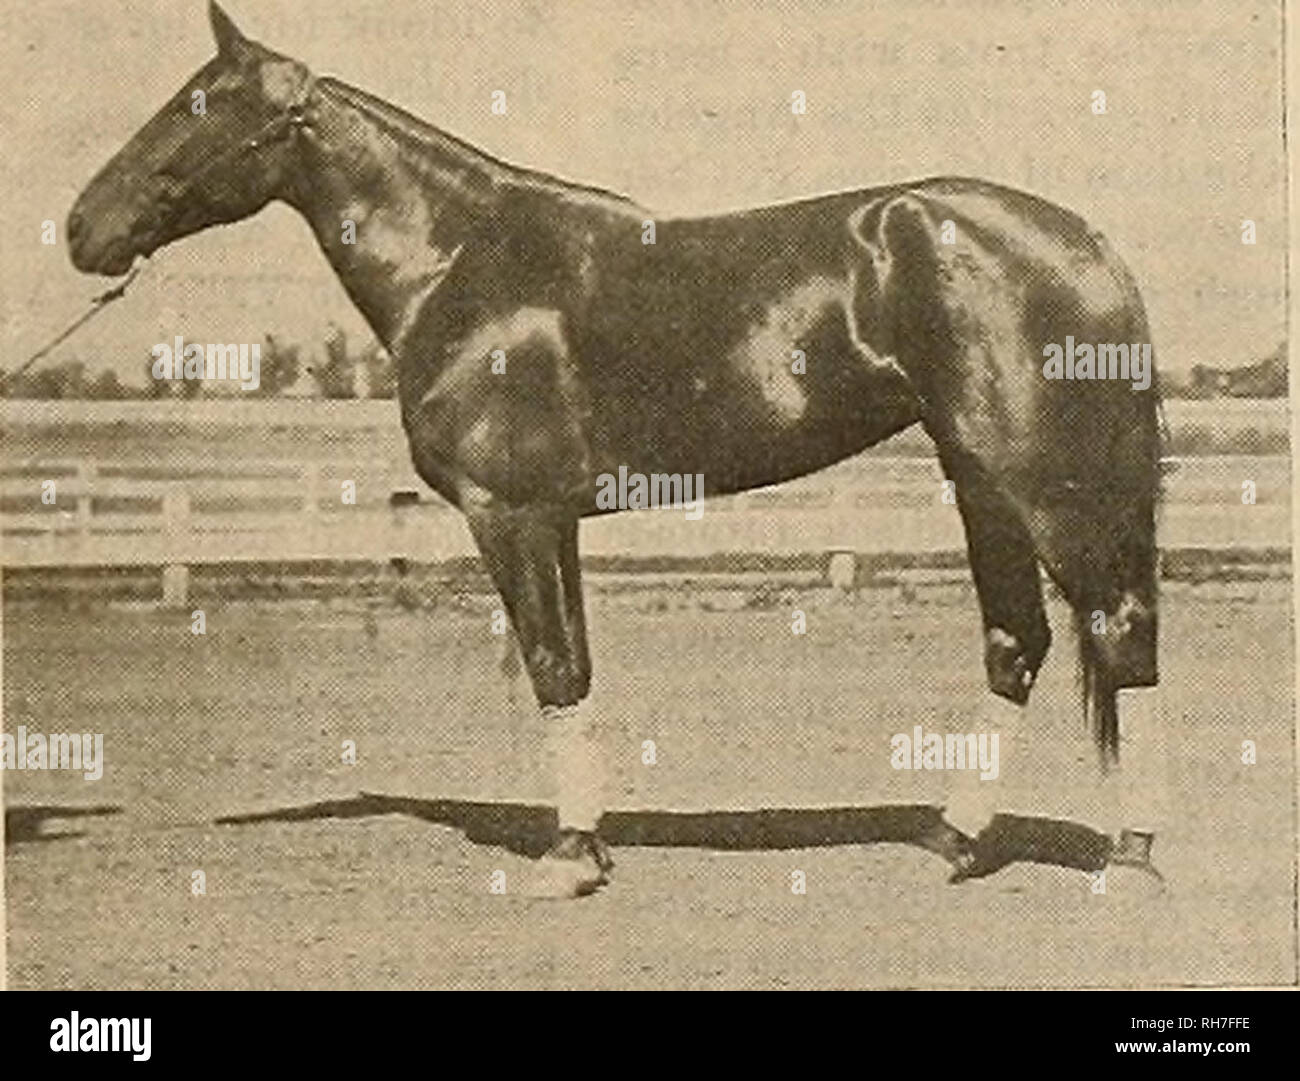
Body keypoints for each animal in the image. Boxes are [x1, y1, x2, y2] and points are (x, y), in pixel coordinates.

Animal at [68, 2, 1161, 897]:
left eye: (194, 105)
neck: (464, 263)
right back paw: (957, 842)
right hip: (981, 484)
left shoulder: (511, 514)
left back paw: (1130, 855)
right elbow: (575, 668)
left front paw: (567, 858)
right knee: (1019, 643)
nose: (82, 228)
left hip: (1047, 487)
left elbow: (553, 667)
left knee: (1119, 632)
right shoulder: (554, 520)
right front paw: (586, 842)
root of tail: (1091, 242)